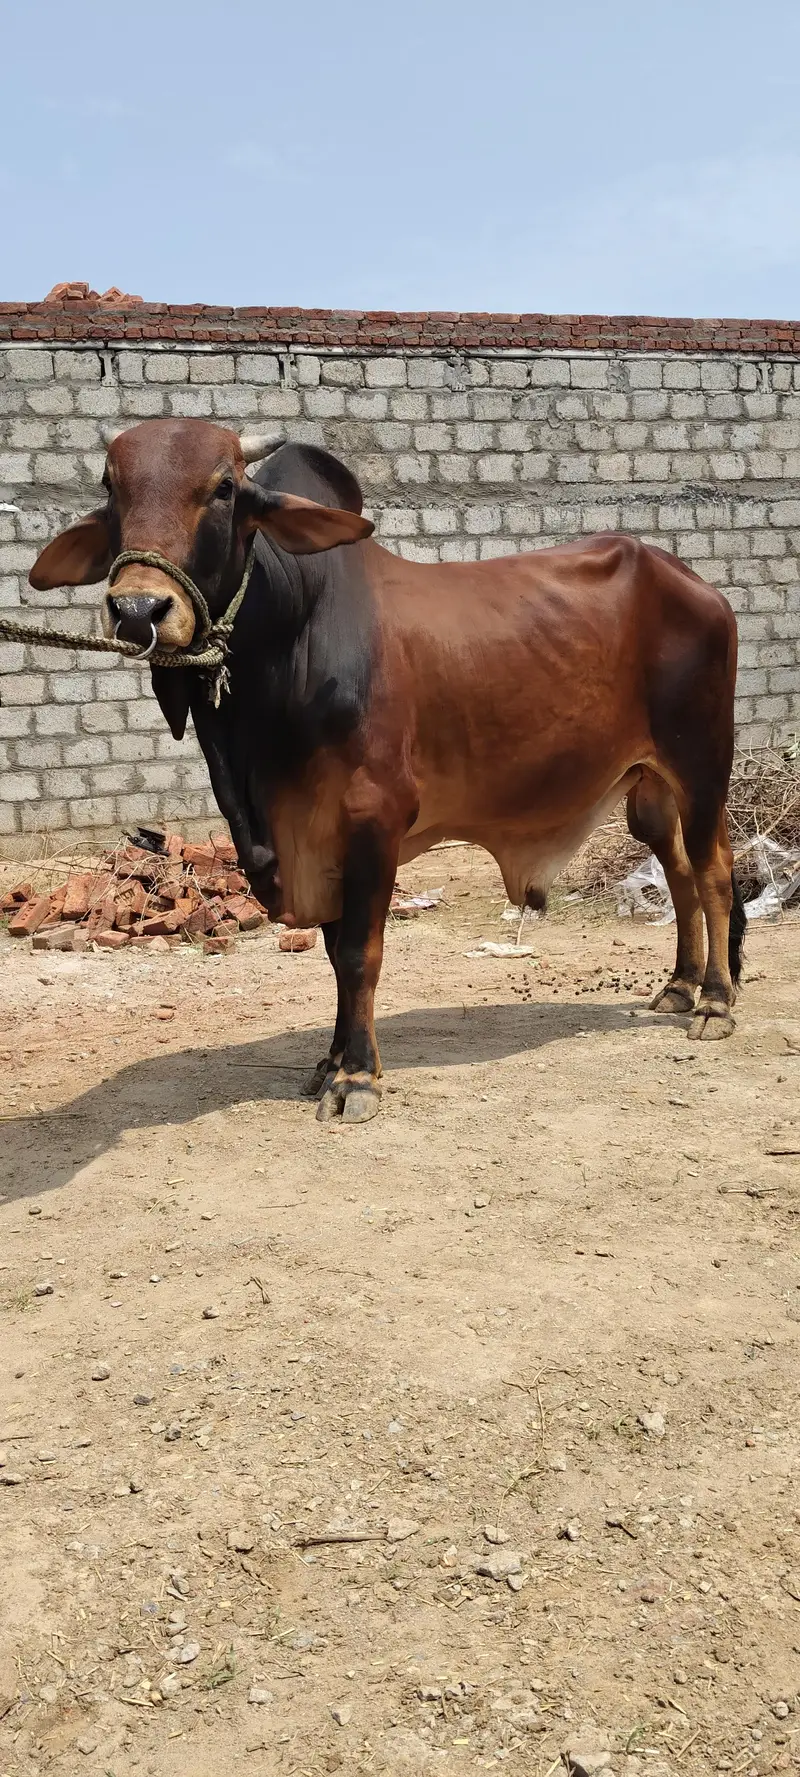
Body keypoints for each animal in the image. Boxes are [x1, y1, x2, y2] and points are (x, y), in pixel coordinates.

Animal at [29, 418, 746, 1124]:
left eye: (225, 487)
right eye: (111, 487)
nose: (137, 609)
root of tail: (696, 584)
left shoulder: (373, 820)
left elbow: (357, 953)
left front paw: (356, 1077)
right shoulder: (314, 834)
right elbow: (331, 951)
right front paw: (330, 1061)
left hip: (702, 764)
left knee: (712, 870)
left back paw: (715, 1000)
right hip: (647, 787)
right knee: (676, 870)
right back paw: (679, 985)